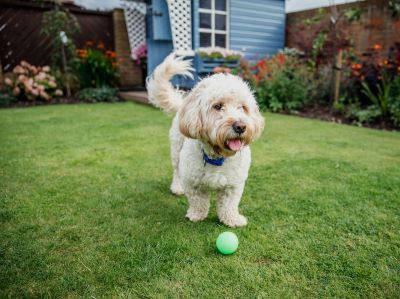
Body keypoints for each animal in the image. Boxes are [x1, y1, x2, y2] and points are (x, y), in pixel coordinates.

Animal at [147, 54, 266, 227]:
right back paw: (177, 187)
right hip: (176, 151)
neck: (218, 156)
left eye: (243, 107)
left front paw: (232, 219)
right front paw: (196, 215)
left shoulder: (234, 184)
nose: (240, 126)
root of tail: (183, 104)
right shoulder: (192, 182)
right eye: (217, 106)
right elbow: (198, 202)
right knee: (176, 171)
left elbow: (229, 204)